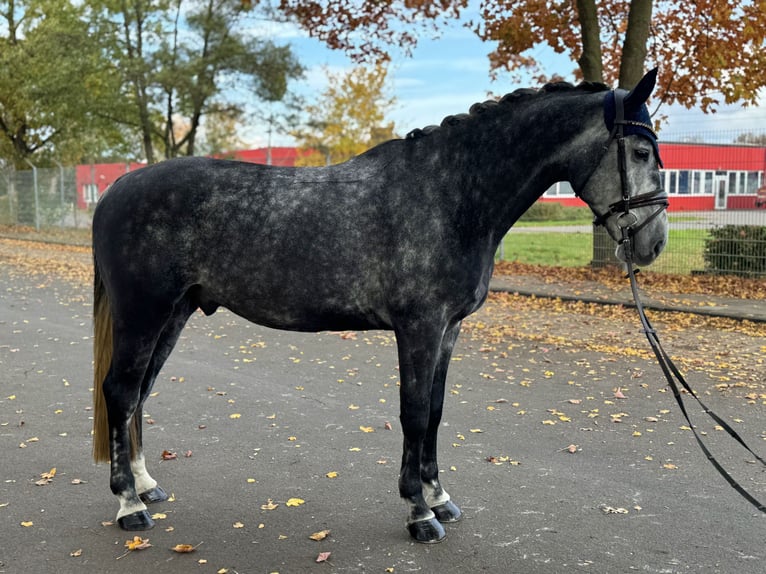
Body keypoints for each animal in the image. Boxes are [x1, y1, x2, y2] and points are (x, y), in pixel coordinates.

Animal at [91, 69, 668, 544]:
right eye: (641, 153)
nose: (654, 243)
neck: (451, 196)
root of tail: (116, 187)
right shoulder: (419, 328)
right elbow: (413, 413)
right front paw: (419, 513)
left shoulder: (448, 330)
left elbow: (434, 412)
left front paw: (439, 497)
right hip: (143, 315)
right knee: (120, 392)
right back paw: (128, 506)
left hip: (173, 315)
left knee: (139, 394)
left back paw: (146, 485)